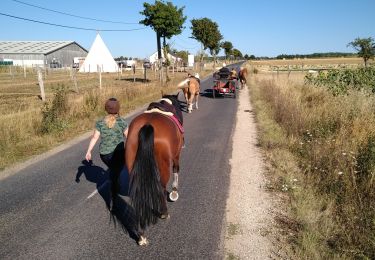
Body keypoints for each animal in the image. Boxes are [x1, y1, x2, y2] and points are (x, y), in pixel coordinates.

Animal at [111, 94, 184, 246]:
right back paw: (164, 213)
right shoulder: (176, 156)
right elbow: (176, 170)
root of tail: (147, 125)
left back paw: (141, 235)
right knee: (162, 187)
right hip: (163, 166)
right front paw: (174, 192)